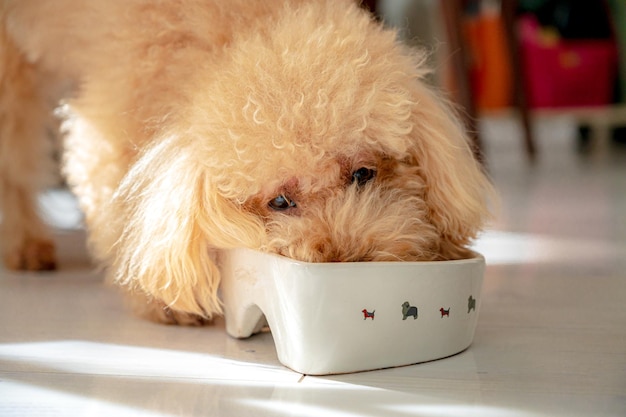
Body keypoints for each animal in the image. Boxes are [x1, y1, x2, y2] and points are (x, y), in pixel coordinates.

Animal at [2, 0, 494, 324]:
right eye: (279, 202)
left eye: (363, 173)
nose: (347, 260)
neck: (240, 26)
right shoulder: (111, 131)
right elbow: (122, 216)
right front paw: (162, 302)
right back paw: (25, 243)